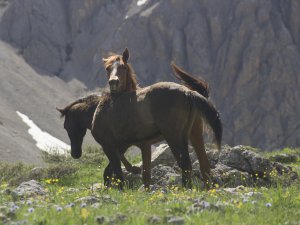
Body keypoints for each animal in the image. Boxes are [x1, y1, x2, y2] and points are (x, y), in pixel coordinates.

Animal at [57, 59, 213, 188]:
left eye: (66, 126)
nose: (75, 154)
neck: (98, 109)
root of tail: (189, 93)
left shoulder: (110, 146)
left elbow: (116, 171)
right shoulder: (123, 146)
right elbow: (111, 171)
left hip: (174, 137)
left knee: (186, 164)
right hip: (193, 135)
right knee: (203, 164)